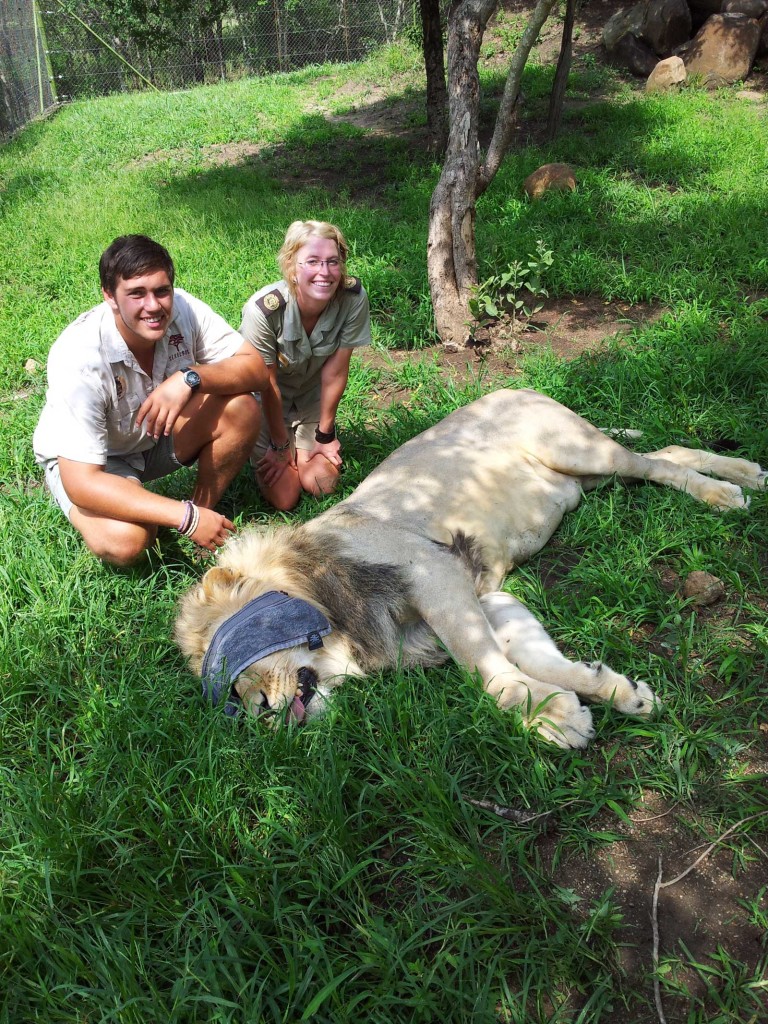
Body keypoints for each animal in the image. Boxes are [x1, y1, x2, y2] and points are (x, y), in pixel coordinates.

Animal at [176, 387, 768, 749]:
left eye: (239, 677)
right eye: (232, 699)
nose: (262, 715)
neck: (342, 633)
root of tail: (516, 388)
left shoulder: (435, 575)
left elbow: (485, 671)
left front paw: (552, 718)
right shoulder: (487, 599)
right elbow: (538, 662)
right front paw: (614, 693)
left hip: (579, 451)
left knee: (658, 464)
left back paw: (726, 491)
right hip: (591, 476)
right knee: (666, 453)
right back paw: (746, 473)